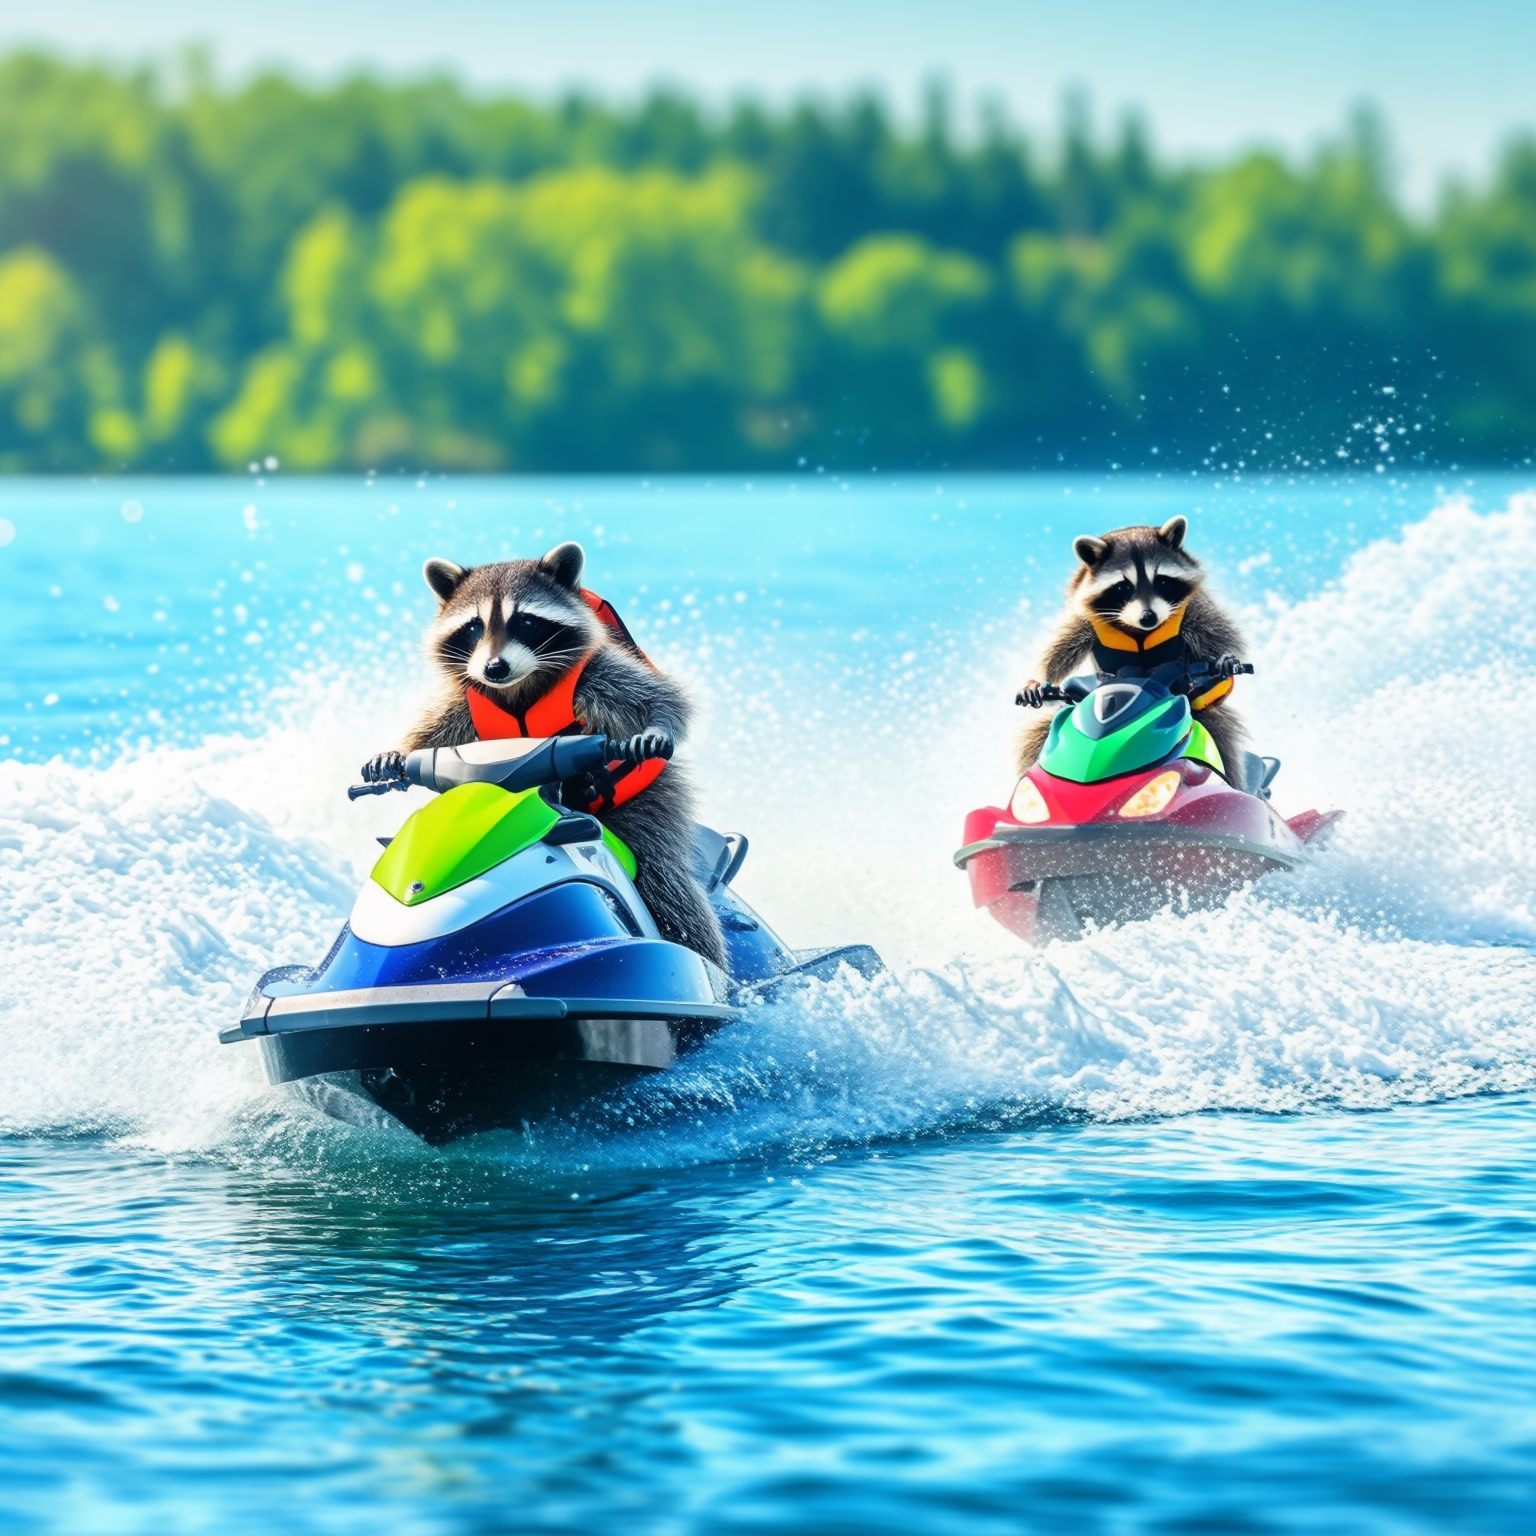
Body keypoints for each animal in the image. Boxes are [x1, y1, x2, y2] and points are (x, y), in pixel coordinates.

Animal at [362, 541, 726, 968]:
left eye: (525, 622)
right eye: (473, 627)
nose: (494, 667)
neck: (517, 687)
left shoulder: (595, 673)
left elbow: (658, 698)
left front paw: (657, 728)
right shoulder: (465, 699)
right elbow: (432, 731)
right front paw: (397, 755)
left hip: (649, 803)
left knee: (670, 888)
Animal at [1015, 515, 1248, 773]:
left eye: (1162, 581)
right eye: (1122, 586)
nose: (1149, 617)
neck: (1139, 630)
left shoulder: (1192, 607)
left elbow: (1220, 633)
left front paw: (1224, 659)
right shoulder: (1085, 617)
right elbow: (1058, 646)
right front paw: (1037, 681)